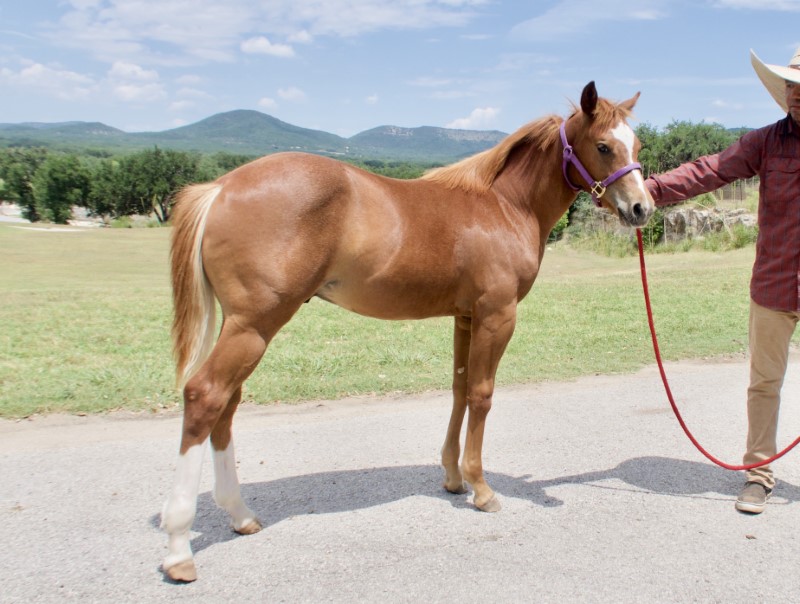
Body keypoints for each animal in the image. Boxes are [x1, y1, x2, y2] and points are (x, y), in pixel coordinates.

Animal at [159, 81, 652, 580]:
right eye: (603, 146)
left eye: (637, 146)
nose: (641, 208)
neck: (504, 205)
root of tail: (220, 187)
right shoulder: (496, 316)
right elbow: (481, 394)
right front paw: (482, 489)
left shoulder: (465, 317)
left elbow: (458, 390)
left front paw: (453, 477)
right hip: (255, 326)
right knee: (205, 396)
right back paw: (179, 547)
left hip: (242, 327)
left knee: (227, 404)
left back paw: (240, 515)